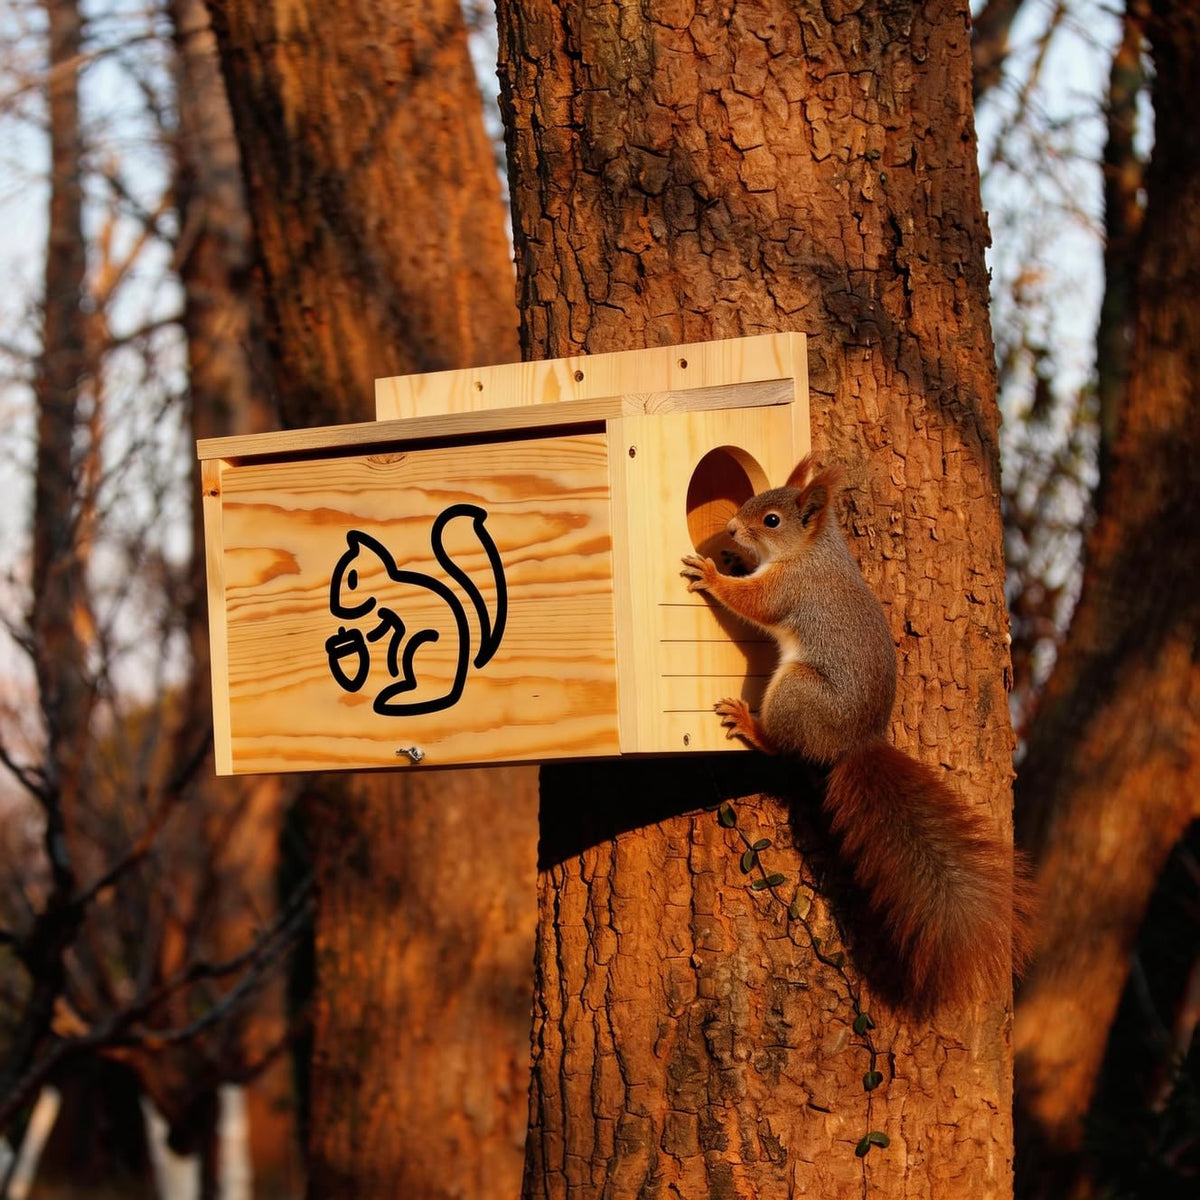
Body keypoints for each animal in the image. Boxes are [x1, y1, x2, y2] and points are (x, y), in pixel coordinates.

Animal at [681, 456, 1033, 1013]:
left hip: (796, 691)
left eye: (772, 520)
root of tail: (855, 743)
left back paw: (747, 722)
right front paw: (729, 560)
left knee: (782, 745)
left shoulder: (790, 589)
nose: (732, 530)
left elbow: (755, 602)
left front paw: (713, 574)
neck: (809, 552)